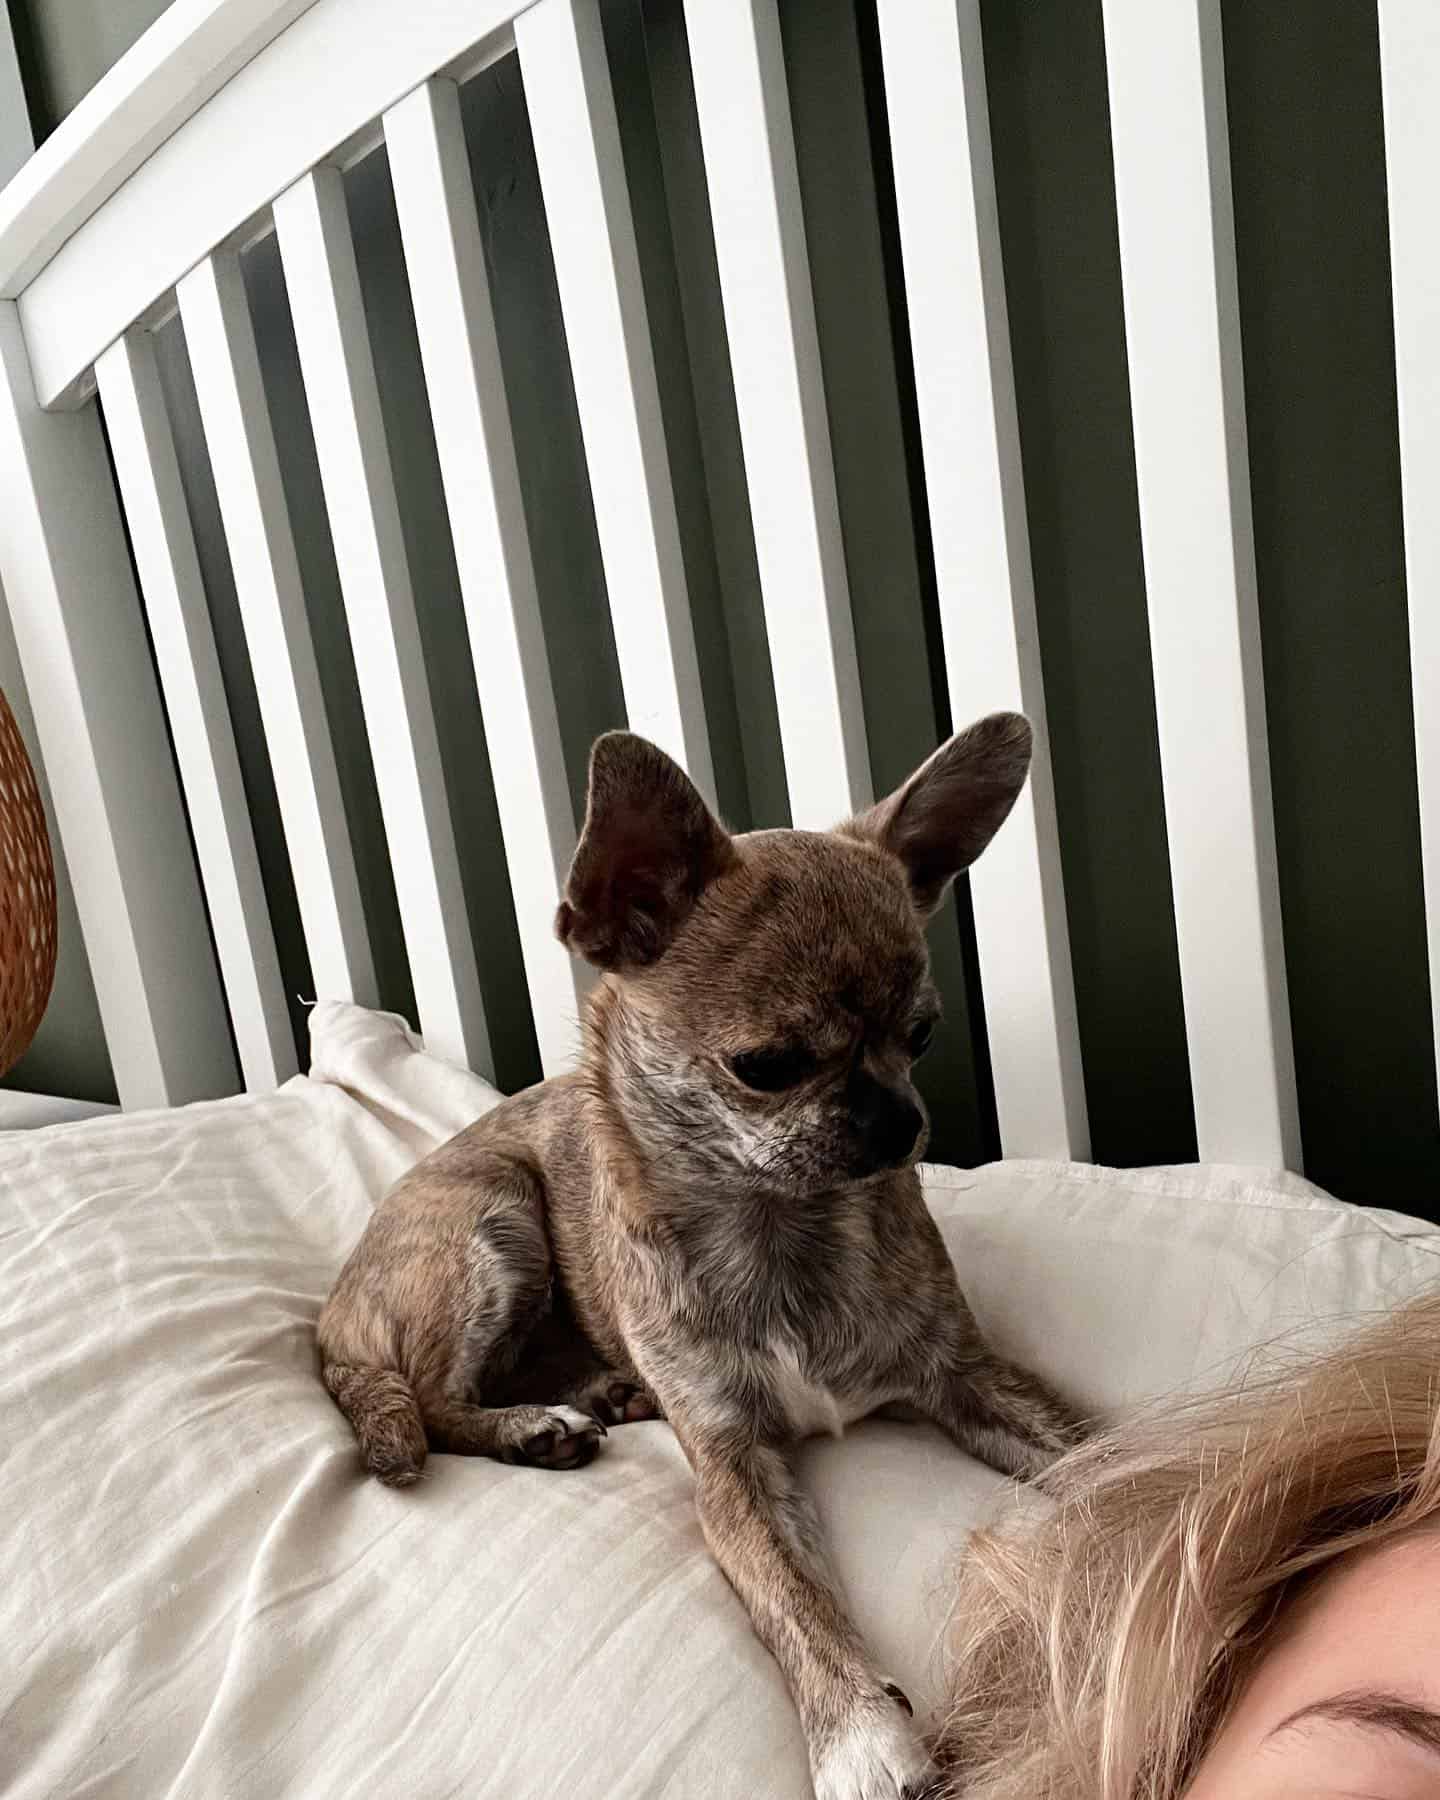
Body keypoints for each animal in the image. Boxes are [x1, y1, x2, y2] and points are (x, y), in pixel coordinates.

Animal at [320, 716, 1087, 1800]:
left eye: (922, 1036)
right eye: (767, 1067)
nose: (900, 1120)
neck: (780, 1228)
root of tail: (328, 1317)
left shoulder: (967, 1377)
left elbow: (1101, 1455)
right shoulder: (733, 1471)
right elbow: (793, 1601)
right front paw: (862, 1733)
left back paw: (597, 1394)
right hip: (494, 1221)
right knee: (428, 1397)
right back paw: (531, 1428)